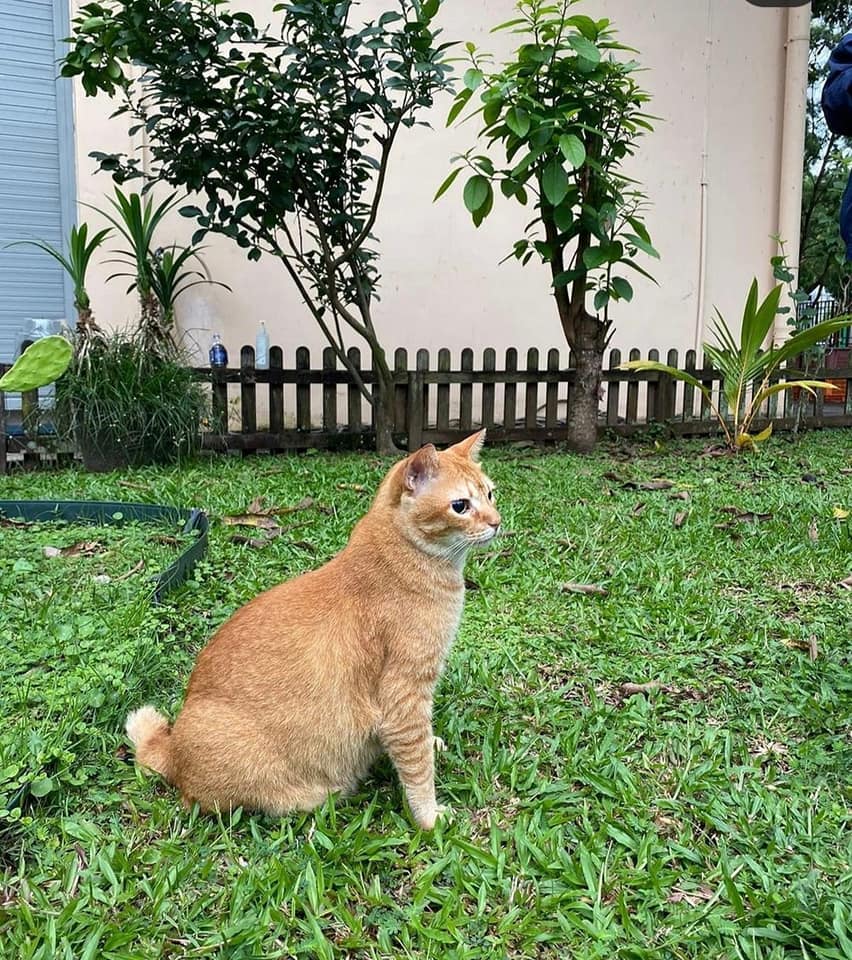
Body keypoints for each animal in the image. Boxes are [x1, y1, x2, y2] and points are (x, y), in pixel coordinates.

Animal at [126, 432, 500, 828]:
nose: (496, 522)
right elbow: (417, 766)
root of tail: (173, 750)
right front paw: (429, 818)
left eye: (490, 494)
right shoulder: (404, 694)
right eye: (460, 506)